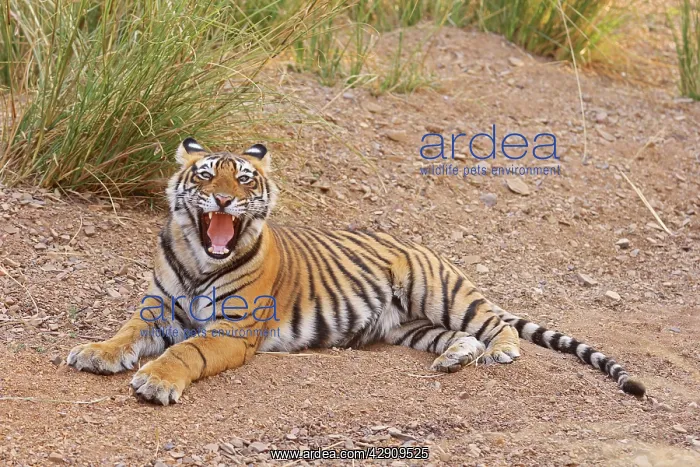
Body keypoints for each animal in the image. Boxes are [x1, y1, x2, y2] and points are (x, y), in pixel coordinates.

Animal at [67, 138, 646, 405]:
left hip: (440, 291)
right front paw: (96, 353)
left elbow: (185, 351)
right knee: (459, 338)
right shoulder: (157, 308)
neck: (197, 260)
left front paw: (156, 381)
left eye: (246, 180)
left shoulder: (231, 330)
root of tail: (413, 239)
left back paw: (501, 350)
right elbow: (125, 333)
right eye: (207, 176)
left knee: (494, 323)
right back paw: (455, 360)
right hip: (413, 327)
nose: (225, 202)